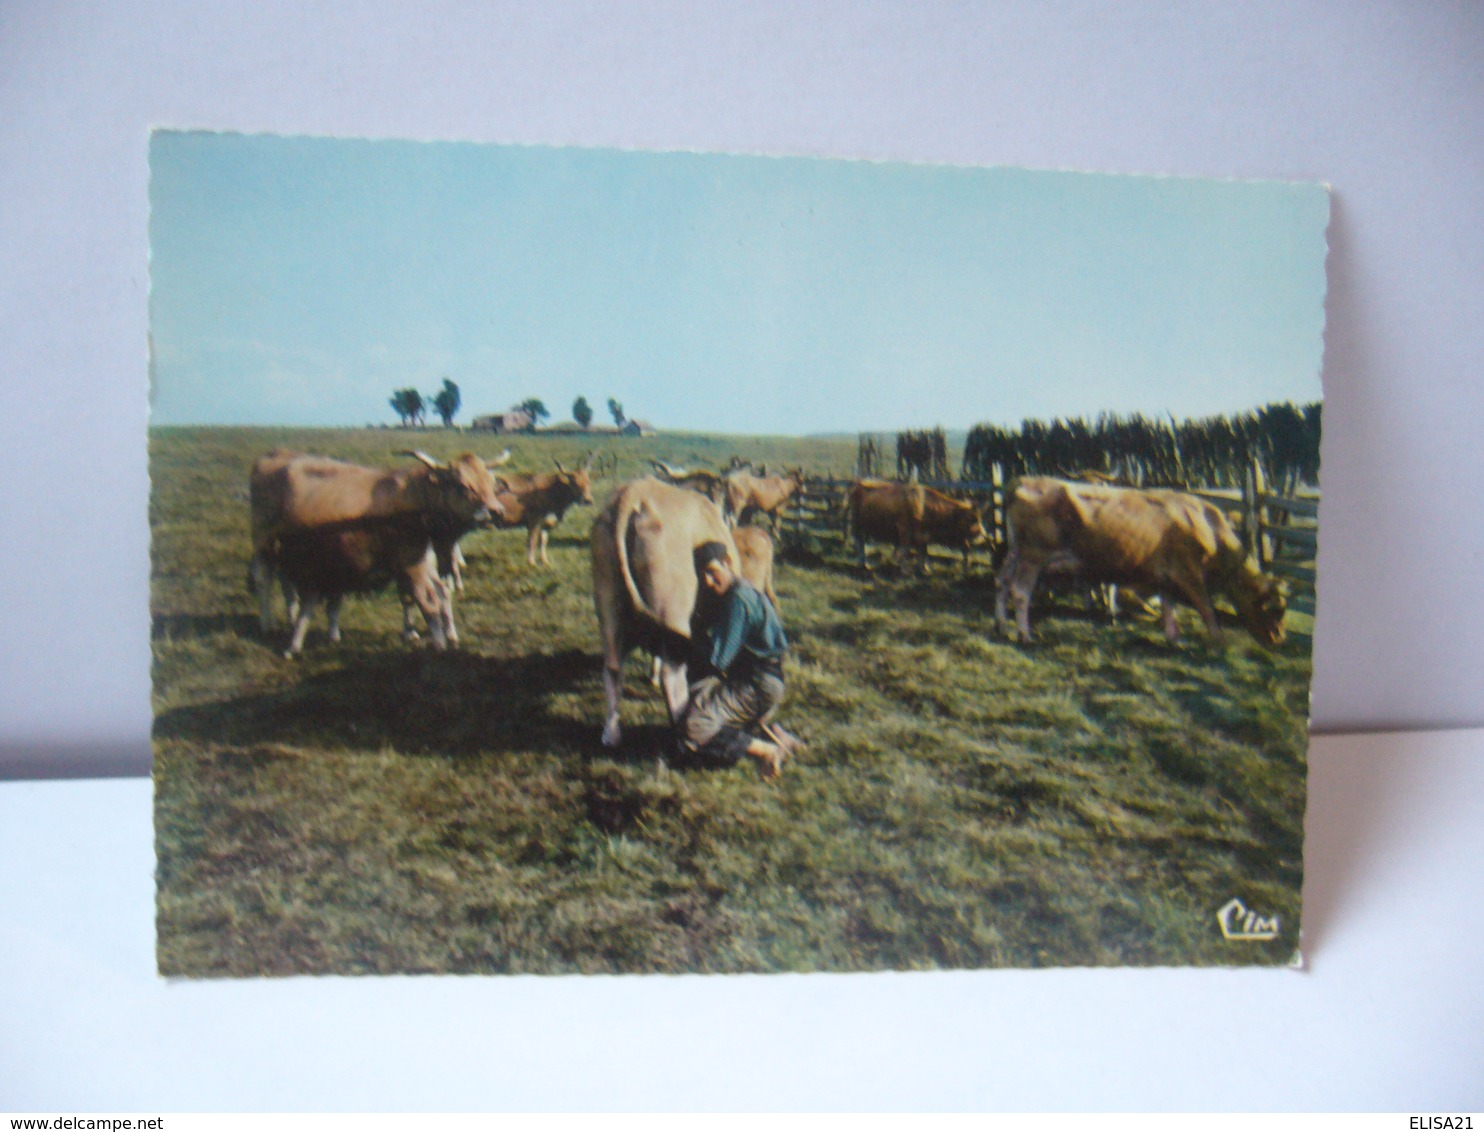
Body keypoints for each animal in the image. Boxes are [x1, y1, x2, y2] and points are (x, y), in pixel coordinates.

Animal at [584, 474, 736, 747]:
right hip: (672, 608)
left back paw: (611, 734)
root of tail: (634, 494)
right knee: (672, 673)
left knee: (612, 666)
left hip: (607, 598)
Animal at [848, 480, 985, 575]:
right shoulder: (905, 531)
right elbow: (905, 551)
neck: (924, 507)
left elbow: (923, 552)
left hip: (865, 527)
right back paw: (863, 564)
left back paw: (864, 564)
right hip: (857, 525)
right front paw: (905, 570)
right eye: (971, 520)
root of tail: (858, 484)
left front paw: (925, 568)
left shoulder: (924, 536)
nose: (981, 535)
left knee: (862, 543)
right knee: (859, 543)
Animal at [997, 474, 1288, 646]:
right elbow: (1205, 607)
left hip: (1015, 552)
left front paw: (1173, 637)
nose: (1279, 639)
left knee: (1002, 581)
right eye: (1274, 609)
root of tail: (1024, 480)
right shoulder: (1189, 572)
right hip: (1034, 555)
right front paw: (1218, 641)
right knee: (1020, 590)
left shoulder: (1166, 574)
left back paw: (1000, 624)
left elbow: (1169, 604)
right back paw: (1024, 634)